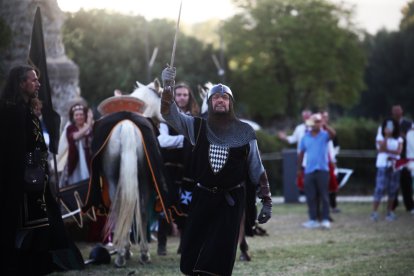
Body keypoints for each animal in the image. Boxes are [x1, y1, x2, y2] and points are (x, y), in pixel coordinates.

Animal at [94, 78, 164, 266]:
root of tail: (127, 125)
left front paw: (126, 249)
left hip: (116, 180)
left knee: (121, 209)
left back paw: (123, 254)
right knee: (140, 210)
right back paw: (140, 253)